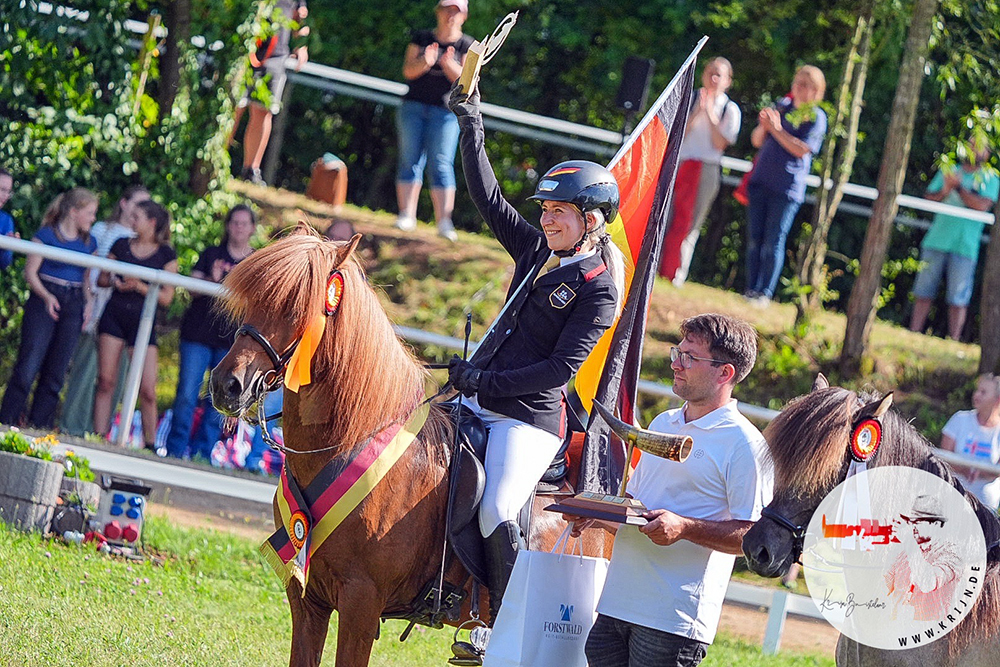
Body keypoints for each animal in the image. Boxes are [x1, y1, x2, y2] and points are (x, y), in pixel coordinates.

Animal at [209, 231, 608, 667]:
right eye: (255, 300)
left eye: (297, 308)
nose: (227, 385)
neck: (353, 440)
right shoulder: (307, 596)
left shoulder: (361, 602)